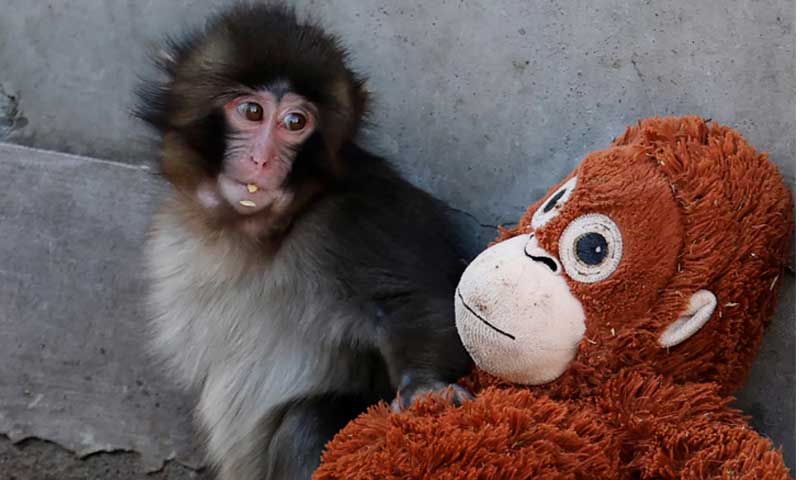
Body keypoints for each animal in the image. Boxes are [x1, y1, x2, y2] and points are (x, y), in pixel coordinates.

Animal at [135, 3, 473, 479]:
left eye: (296, 122)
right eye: (252, 112)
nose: (262, 159)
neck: (257, 232)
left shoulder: (359, 218)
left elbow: (415, 302)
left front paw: (426, 387)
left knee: (308, 421)